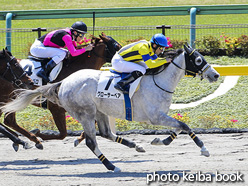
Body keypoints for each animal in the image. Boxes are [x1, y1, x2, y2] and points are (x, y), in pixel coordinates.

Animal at [0, 44, 219, 171]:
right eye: (198, 60)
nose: (215, 75)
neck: (159, 81)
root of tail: (63, 82)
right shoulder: (155, 116)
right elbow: (184, 126)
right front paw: (204, 149)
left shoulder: (161, 115)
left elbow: (179, 128)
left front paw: (159, 141)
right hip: (86, 113)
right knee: (92, 141)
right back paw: (111, 166)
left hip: (100, 111)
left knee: (106, 133)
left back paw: (135, 146)